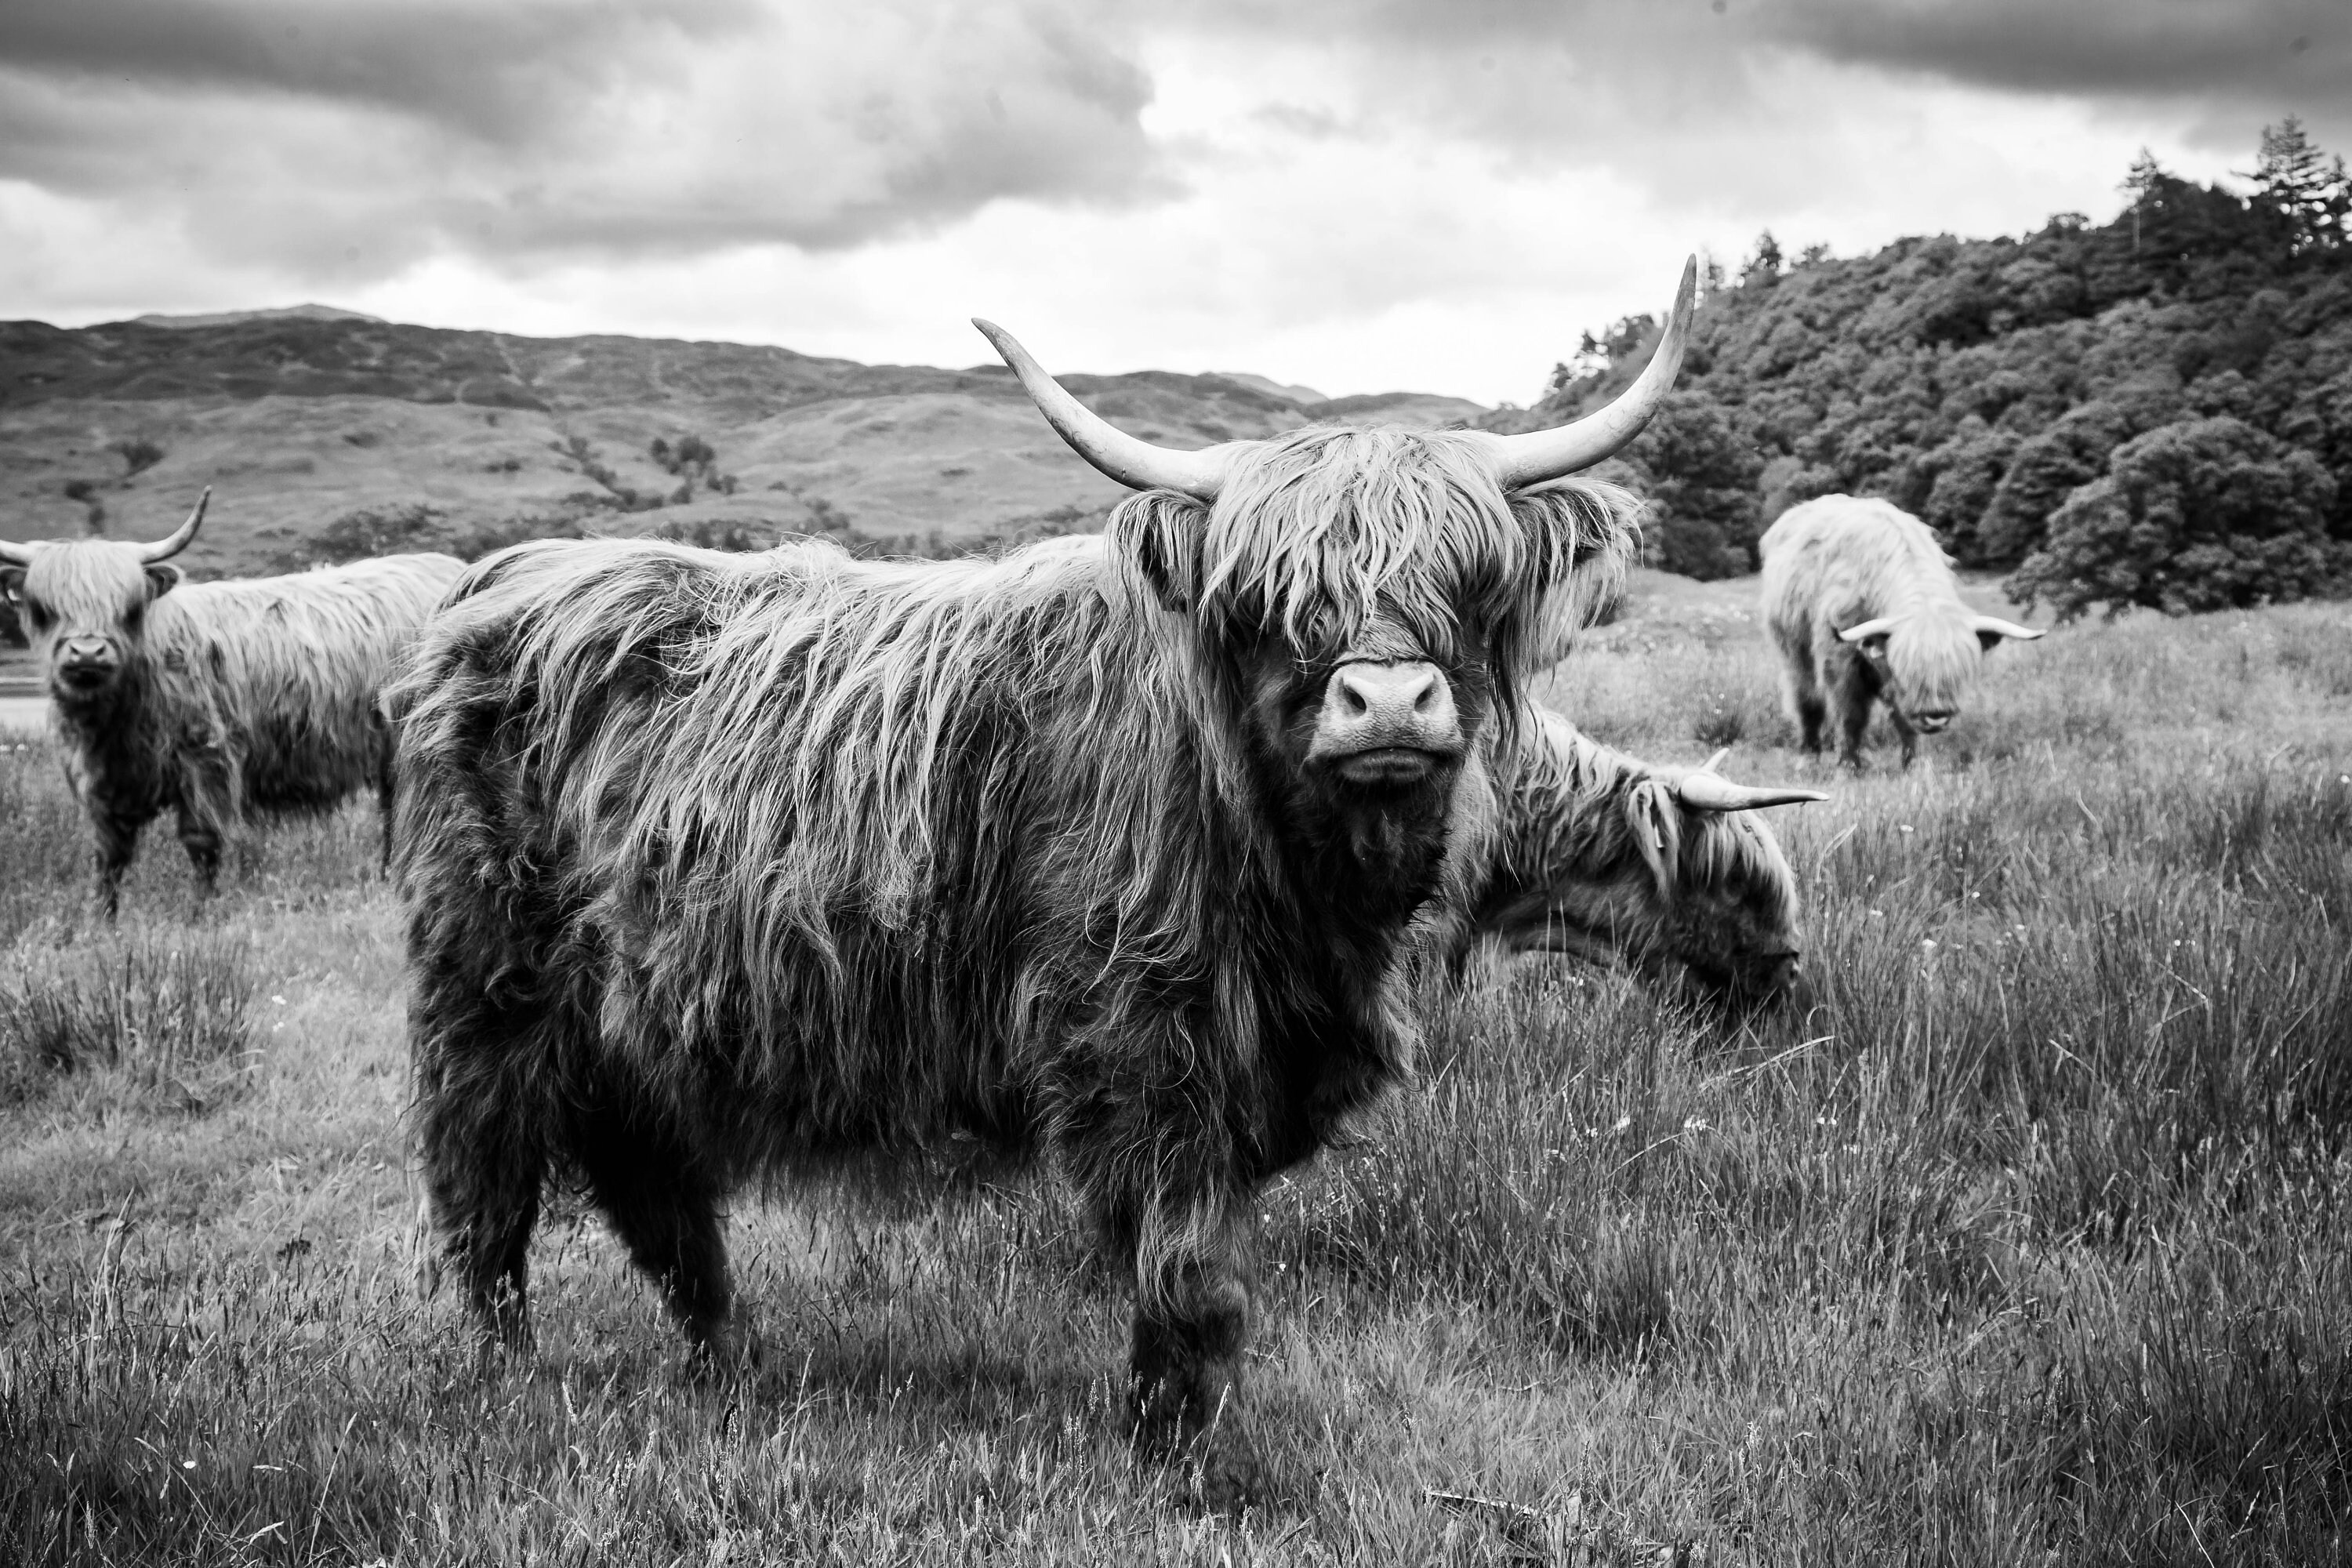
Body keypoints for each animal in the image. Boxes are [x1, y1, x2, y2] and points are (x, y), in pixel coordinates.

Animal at [0, 491, 465, 915]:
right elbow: (108, 856)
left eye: (128, 608)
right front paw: (102, 919)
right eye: (44, 609)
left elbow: (201, 841)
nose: (88, 653)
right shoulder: (100, 779)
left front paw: (200, 913)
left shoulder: (207, 759)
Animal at [391, 262, 1696, 1501]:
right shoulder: (1141, 1045)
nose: (1386, 703)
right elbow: (1190, 1273)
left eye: (1474, 581)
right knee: (487, 1184)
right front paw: (1172, 1457)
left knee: (651, 1182)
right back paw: (508, 1376)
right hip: (486, 989)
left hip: (634, 1011)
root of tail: (494, 581)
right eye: (1267, 600)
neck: (1301, 887)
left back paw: (730, 1361)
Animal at [1760, 494, 2043, 768]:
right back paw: (1809, 757)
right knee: (1807, 701)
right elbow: (1850, 715)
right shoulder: (1840, 662)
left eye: (1957, 672)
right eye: (1908, 672)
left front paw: (1912, 766)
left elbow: (1905, 721)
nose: (1935, 717)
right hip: (1793, 652)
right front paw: (1849, 766)